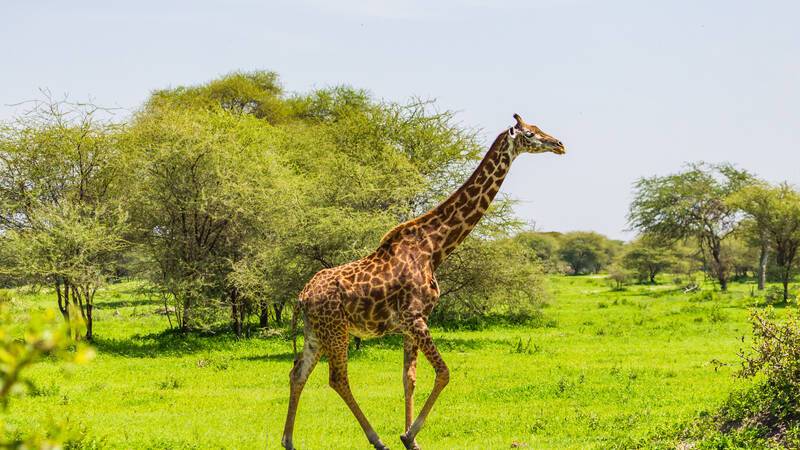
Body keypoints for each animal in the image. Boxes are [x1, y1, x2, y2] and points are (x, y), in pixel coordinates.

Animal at [282, 113, 564, 450]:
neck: (434, 248)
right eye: (530, 134)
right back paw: (376, 439)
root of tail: (302, 296)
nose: (559, 144)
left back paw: (288, 441)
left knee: (298, 373)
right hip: (336, 330)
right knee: (337, 378)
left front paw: (411, 438)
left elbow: (409, 377)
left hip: (316, 332)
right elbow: (444, 372)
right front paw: (408, 434)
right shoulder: (416, 317)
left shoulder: (408, 324)